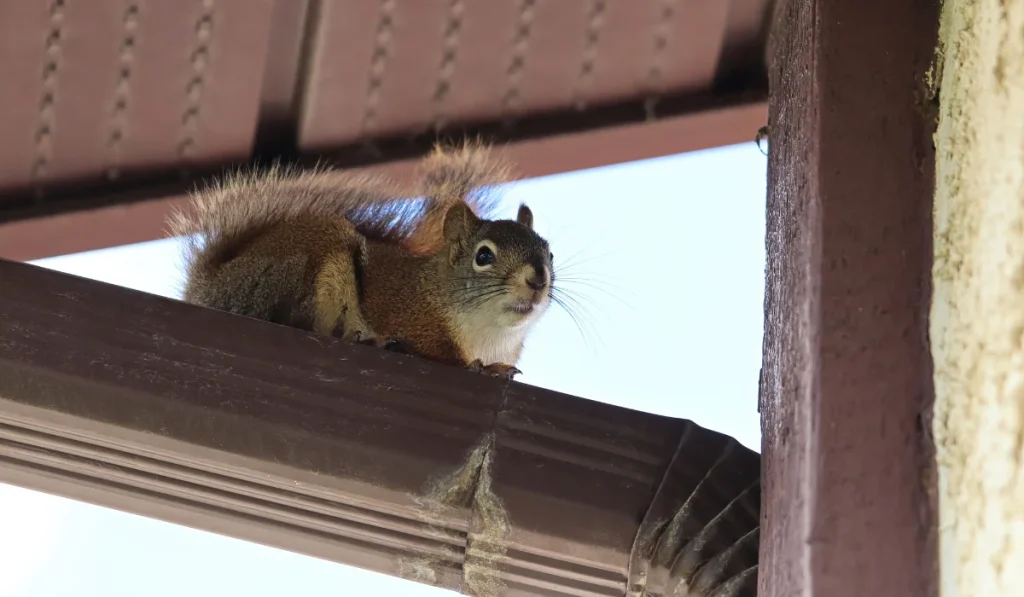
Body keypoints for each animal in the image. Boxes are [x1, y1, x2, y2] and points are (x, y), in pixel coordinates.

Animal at [168, 141, 553, 379]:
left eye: (549, 253)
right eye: (483, 255)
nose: (538, 279)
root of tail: (211, 287)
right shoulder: (414, 318)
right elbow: (441, 353)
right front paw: (481, 368)